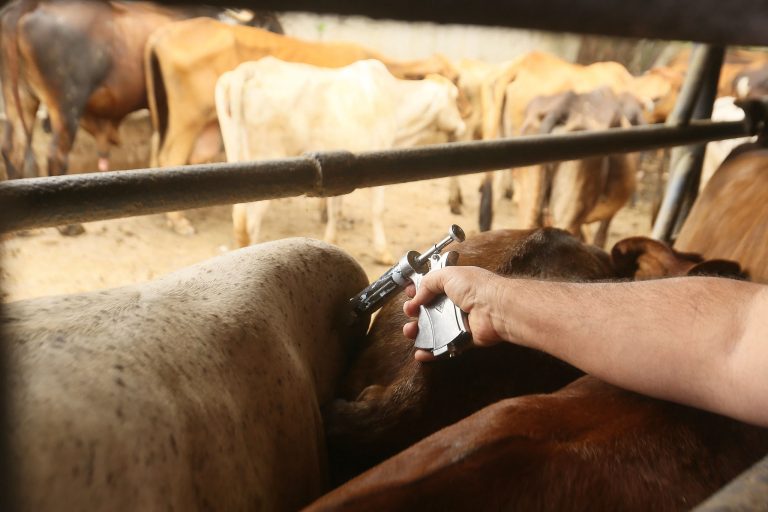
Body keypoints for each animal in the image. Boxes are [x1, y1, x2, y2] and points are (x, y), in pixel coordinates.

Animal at [218, 57, 468, 264]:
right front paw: (383, 252)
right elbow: (377, 210)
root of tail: (250, 68)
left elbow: (335, 209)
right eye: (455, 98)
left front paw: (331, 241)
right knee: (251, 224)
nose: (462, 127)